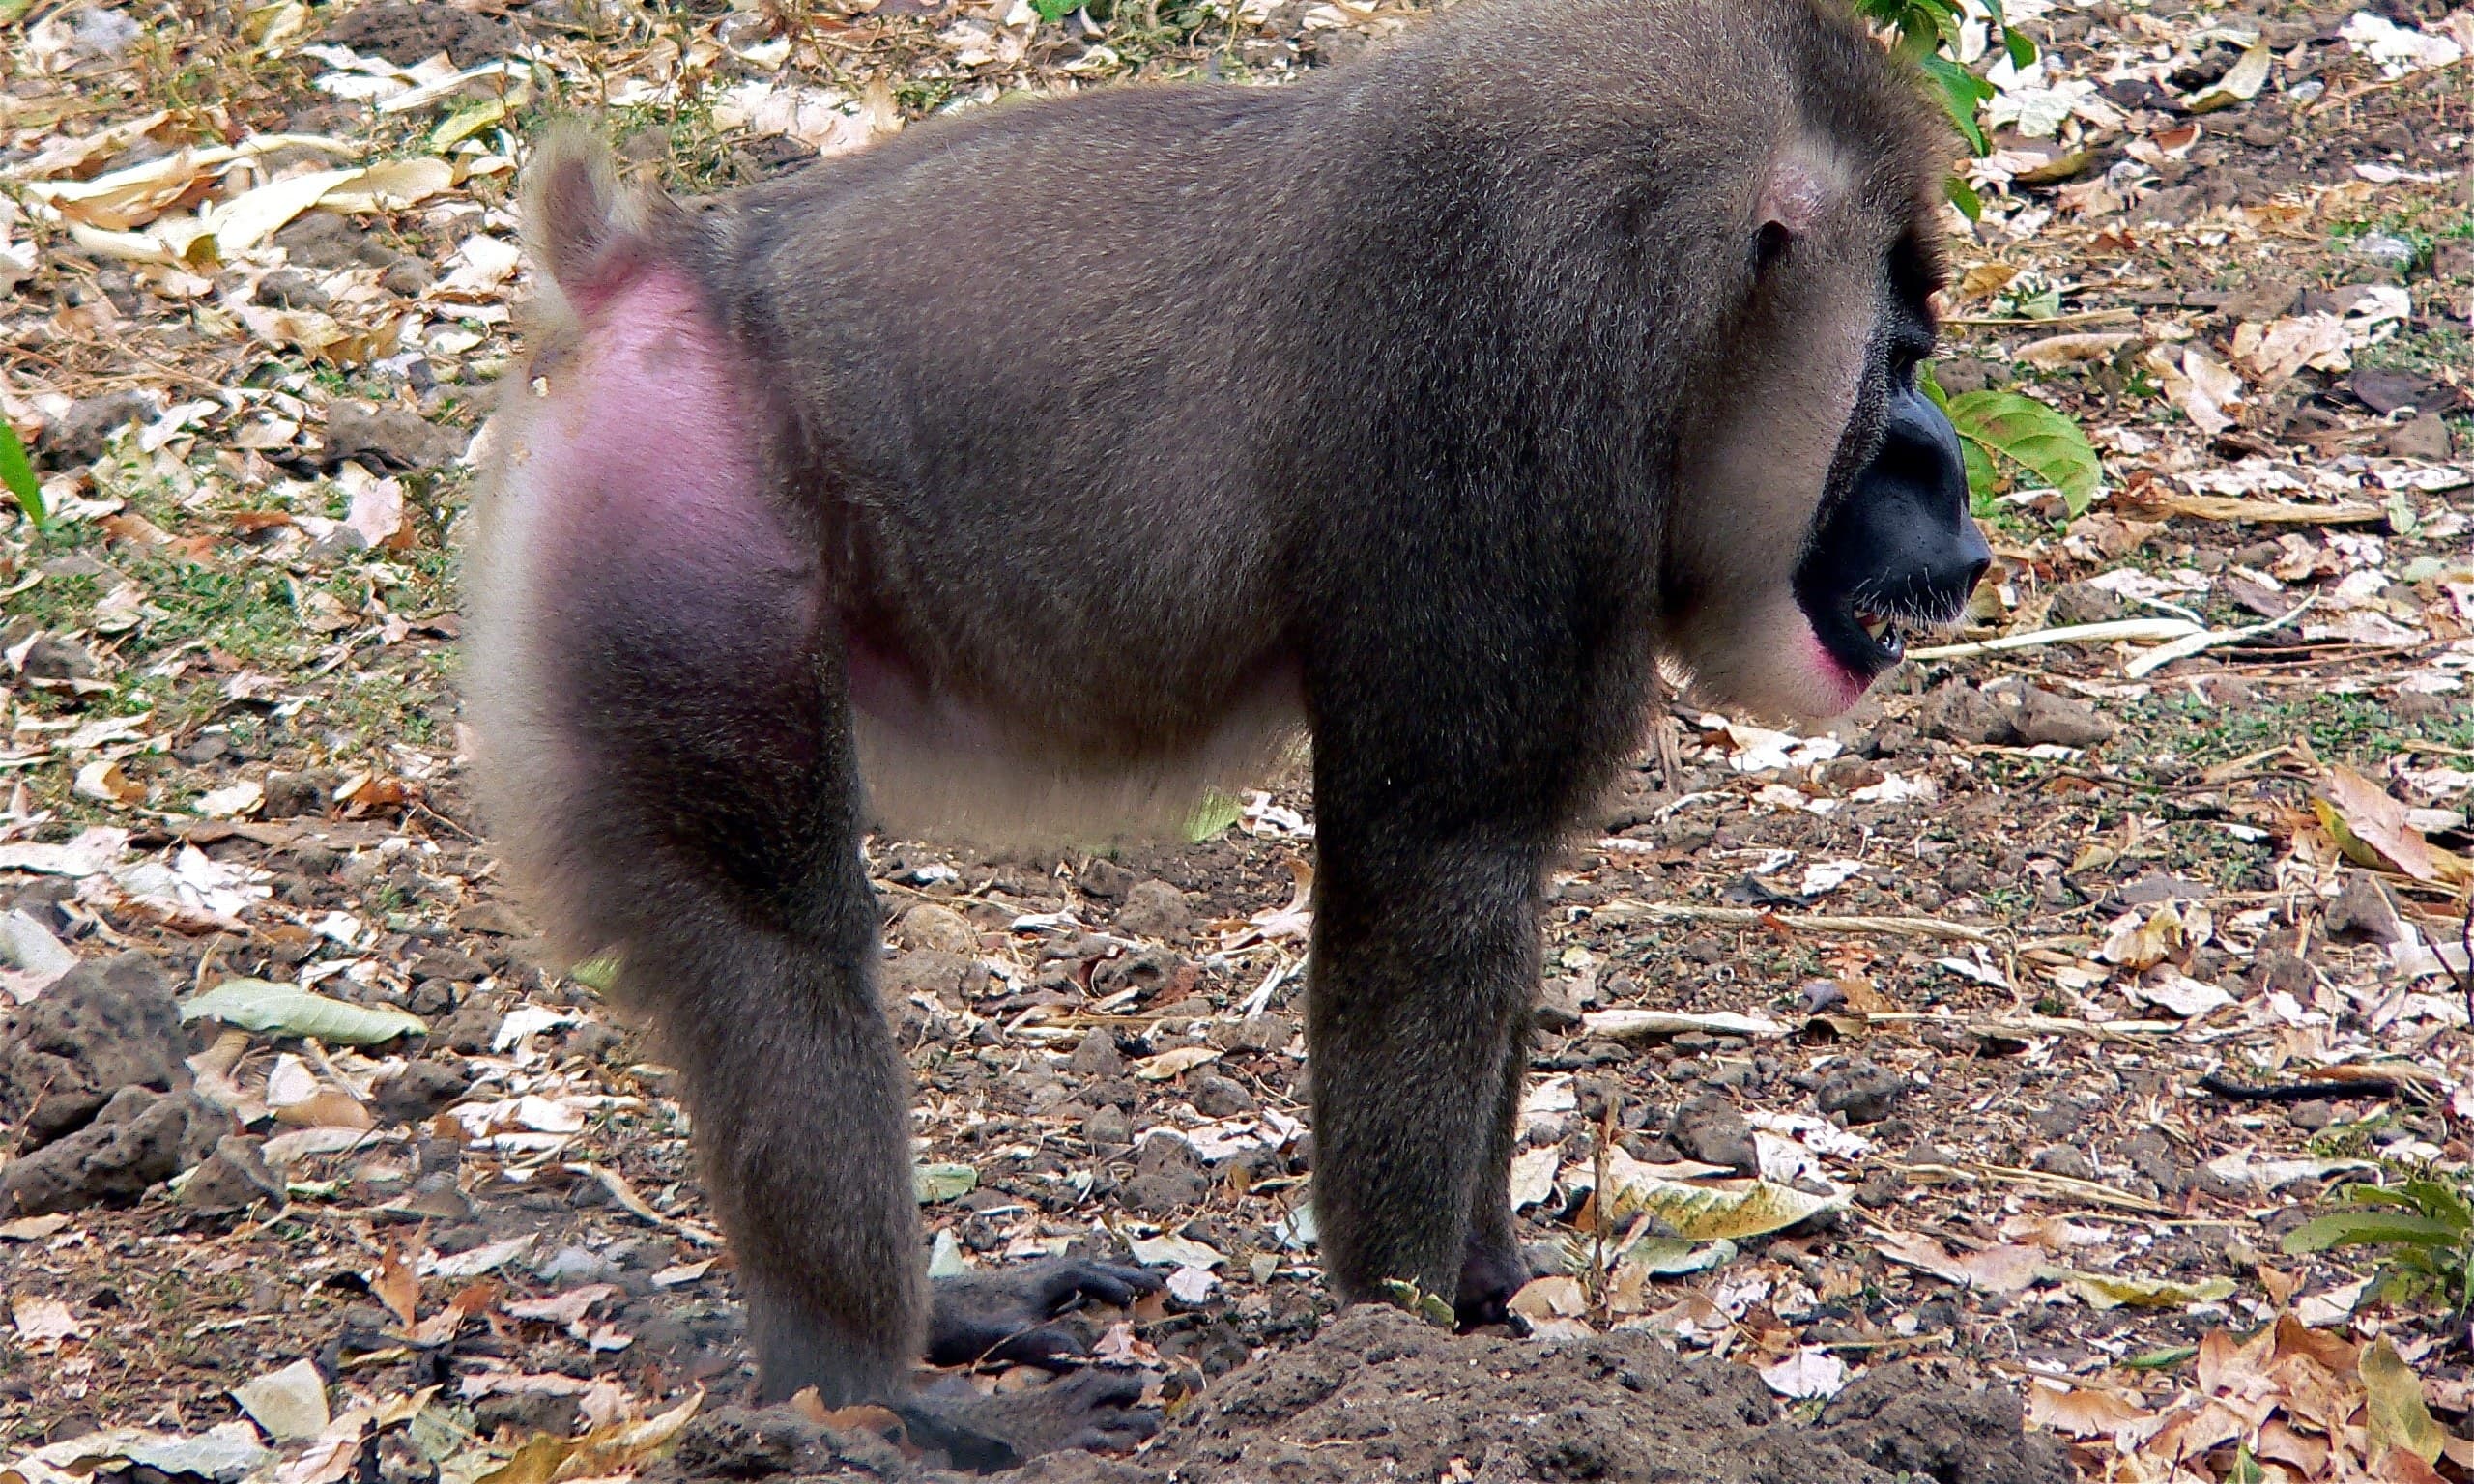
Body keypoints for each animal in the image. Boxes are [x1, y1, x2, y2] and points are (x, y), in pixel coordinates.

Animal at [461, 0, 1991, 1461]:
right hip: (688, 548)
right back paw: (874, 1398)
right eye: (1901, 358)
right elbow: (1434, 878)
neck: (1681, 290)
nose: (1963, 512)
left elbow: (1501, 899)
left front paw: (1488, 1293)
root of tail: (653, 269)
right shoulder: (1507, 414)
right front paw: (1403, 1342)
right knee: (777, 958)